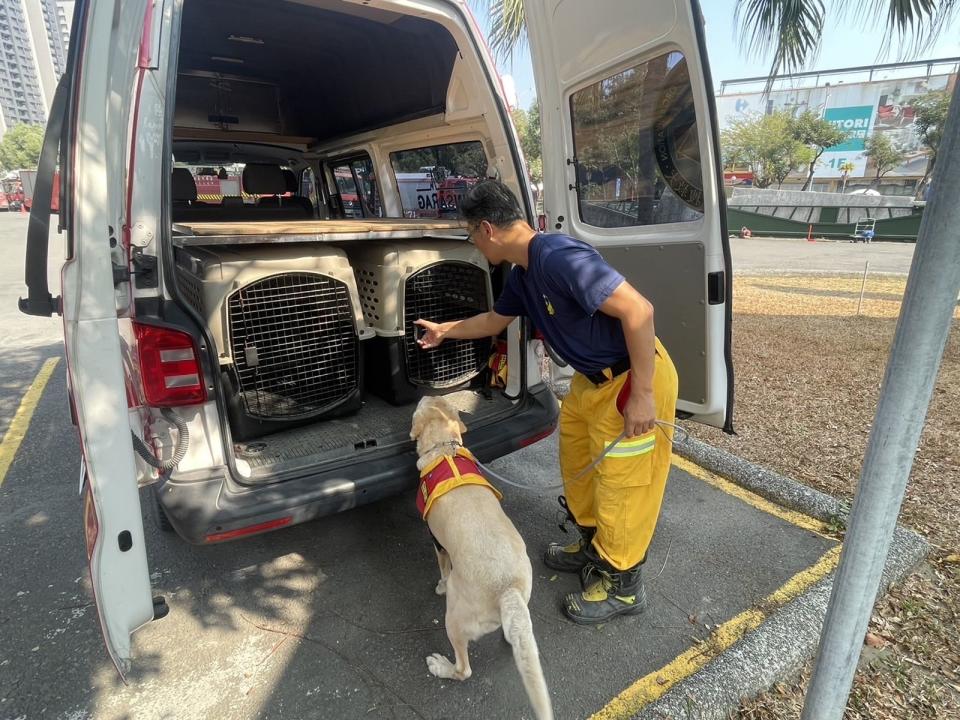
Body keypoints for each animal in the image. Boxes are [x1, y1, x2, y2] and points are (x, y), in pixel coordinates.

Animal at [408, 396, 552, 716]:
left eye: (421, 406)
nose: (422, 394)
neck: (445, 448)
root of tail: (507, 589)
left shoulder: (437, 541)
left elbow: (442, 568)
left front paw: (439, 584)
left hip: (454, 617)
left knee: (464, 670)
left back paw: (441, 666)